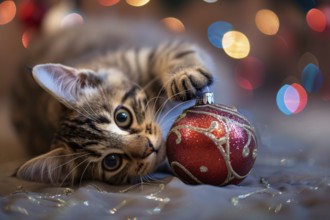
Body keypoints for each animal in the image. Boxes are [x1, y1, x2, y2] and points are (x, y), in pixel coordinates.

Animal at [10, 18, 214, 185]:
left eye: (122, 117)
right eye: (112, 161)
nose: (148, 148)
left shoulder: (142, 58)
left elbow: (176, 54)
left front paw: (185, 75)